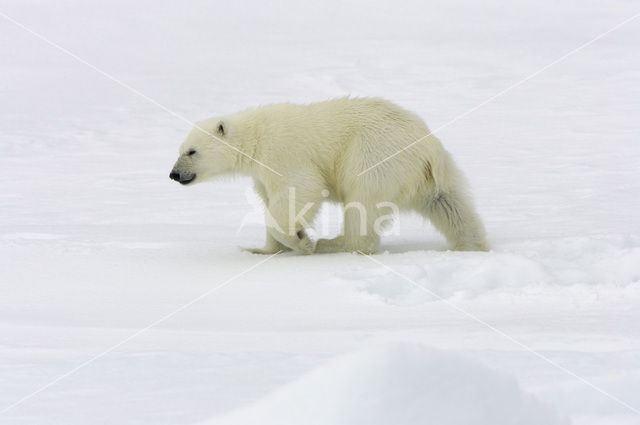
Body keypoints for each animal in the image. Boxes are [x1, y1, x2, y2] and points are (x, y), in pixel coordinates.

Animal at [168, 97, 488, 253]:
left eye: (192, 151)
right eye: (180, 149)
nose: (174, 174)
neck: (256, 138)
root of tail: (427, 146)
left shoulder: (284, 153)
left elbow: (299, 190)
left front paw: (302, 241)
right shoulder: (261, 173)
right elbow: (269, 199)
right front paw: (262, 250)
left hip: (374, 155)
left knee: (362, 204)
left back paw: (332, 244)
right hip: (428, 176)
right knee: (450, 205)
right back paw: (472, 245)